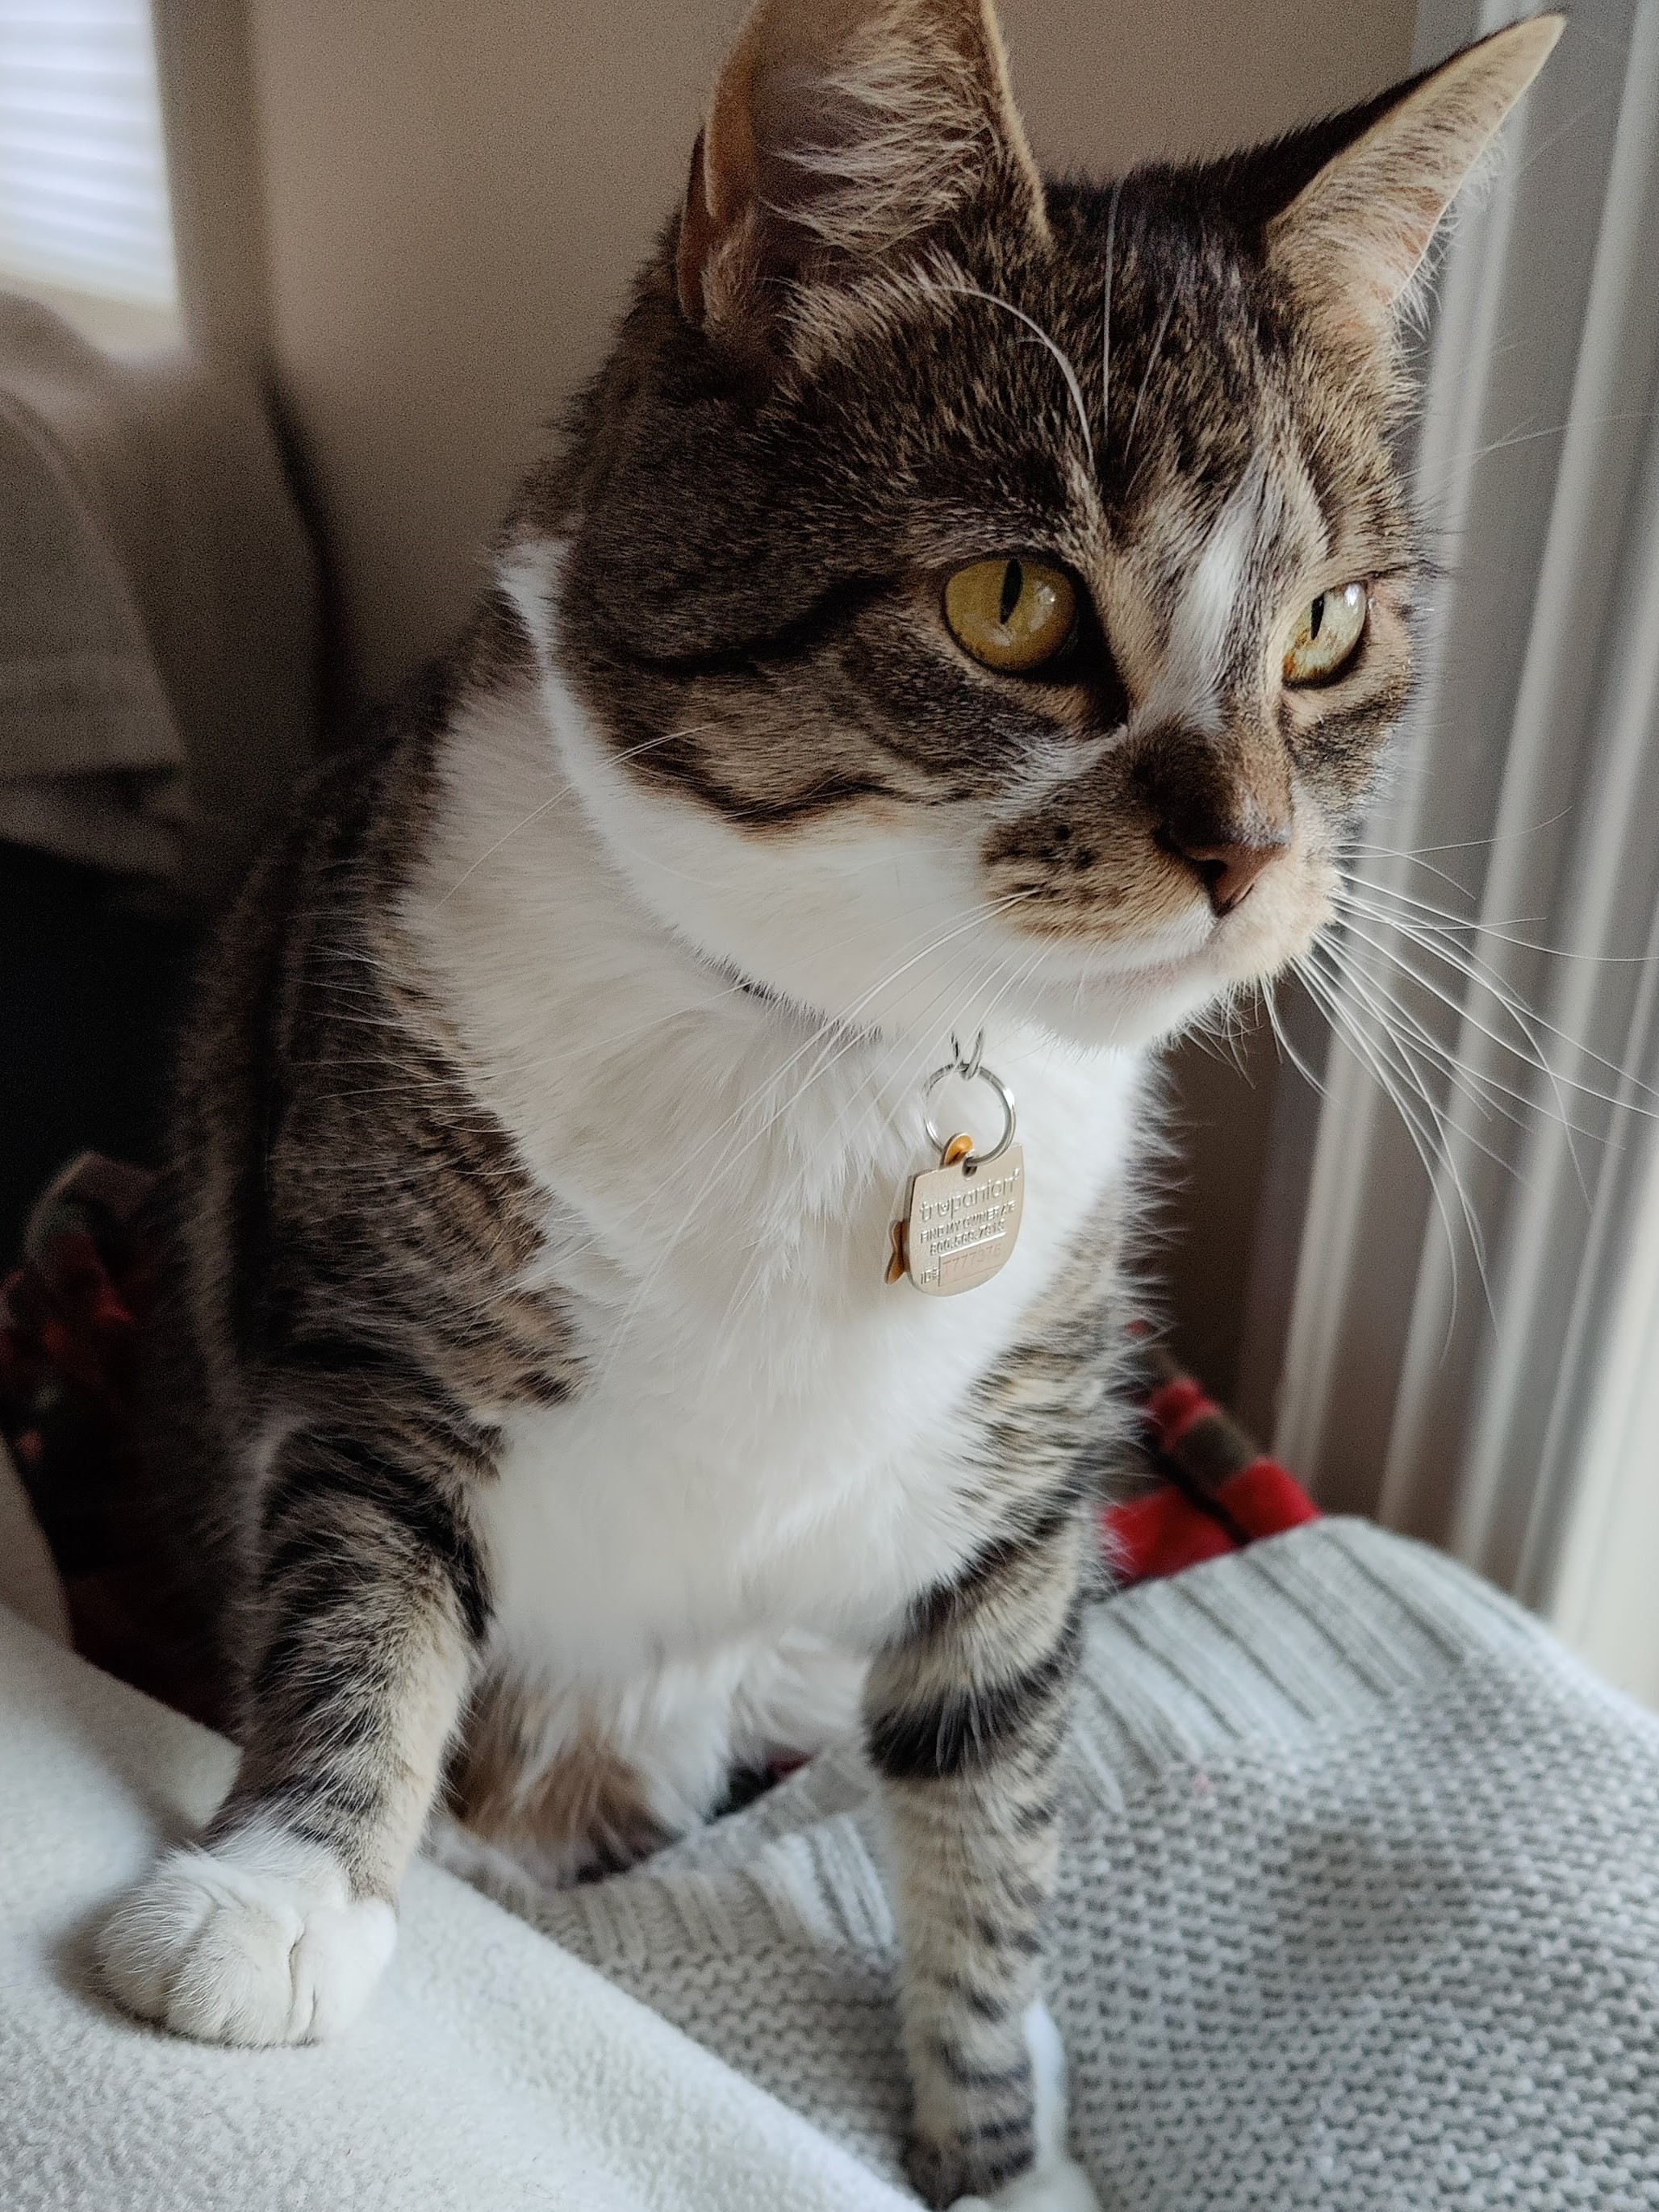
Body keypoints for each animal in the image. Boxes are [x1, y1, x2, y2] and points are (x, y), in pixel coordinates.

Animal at [100, 8, 1557, 2203]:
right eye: (1012, 605)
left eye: (1325, 632)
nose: (1249, 855)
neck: (848, 1035)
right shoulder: (364, 1307)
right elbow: (362, 1573)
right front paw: (281, 1889)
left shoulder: (1018, 1478)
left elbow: (988, 1823)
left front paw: (997, 2149)